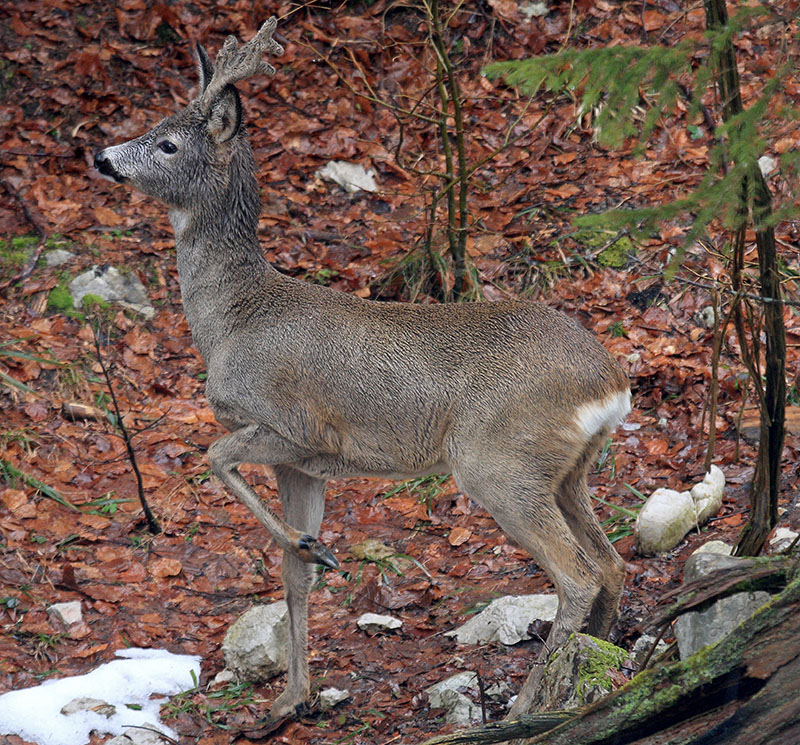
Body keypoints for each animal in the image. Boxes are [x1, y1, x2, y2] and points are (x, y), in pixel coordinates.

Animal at [94, 16, 632, 716]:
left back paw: (523, 706)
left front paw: (313, 551)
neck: (232, 319)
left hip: (497, 461)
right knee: (612, 564)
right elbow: (291, 578)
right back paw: (595, 669)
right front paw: (290, 698)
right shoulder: (302, 466)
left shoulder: (296, 428)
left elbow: (214, 457)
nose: (101, 157)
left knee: (577, 574)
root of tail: (612, 382)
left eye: (167, 143)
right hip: (569, 469)